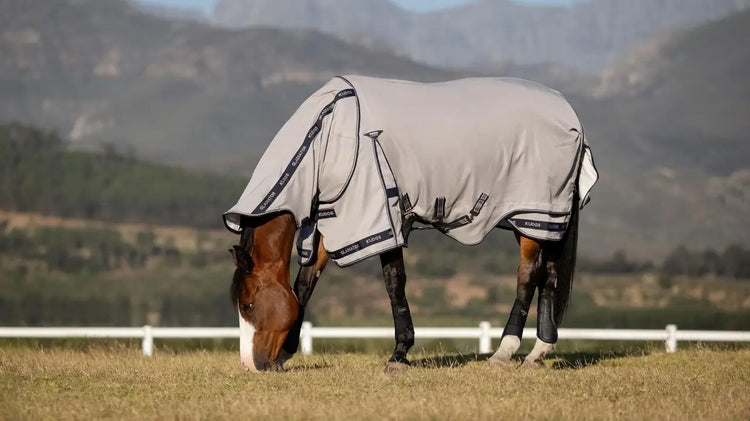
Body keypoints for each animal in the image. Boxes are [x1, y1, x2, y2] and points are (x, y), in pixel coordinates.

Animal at [225, 75, 598, 372]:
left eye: (247, 305)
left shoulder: (378, 217)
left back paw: (504, 352)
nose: (250, 365)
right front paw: (287, 352)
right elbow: (303, 285)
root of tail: (570, 115)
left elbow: (394, 282)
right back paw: (537, 353)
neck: (329, 131)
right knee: (549, 275)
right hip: (539, 223)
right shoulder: (336, 220)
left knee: (528, 276)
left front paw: (399, 354)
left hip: (535, 214)